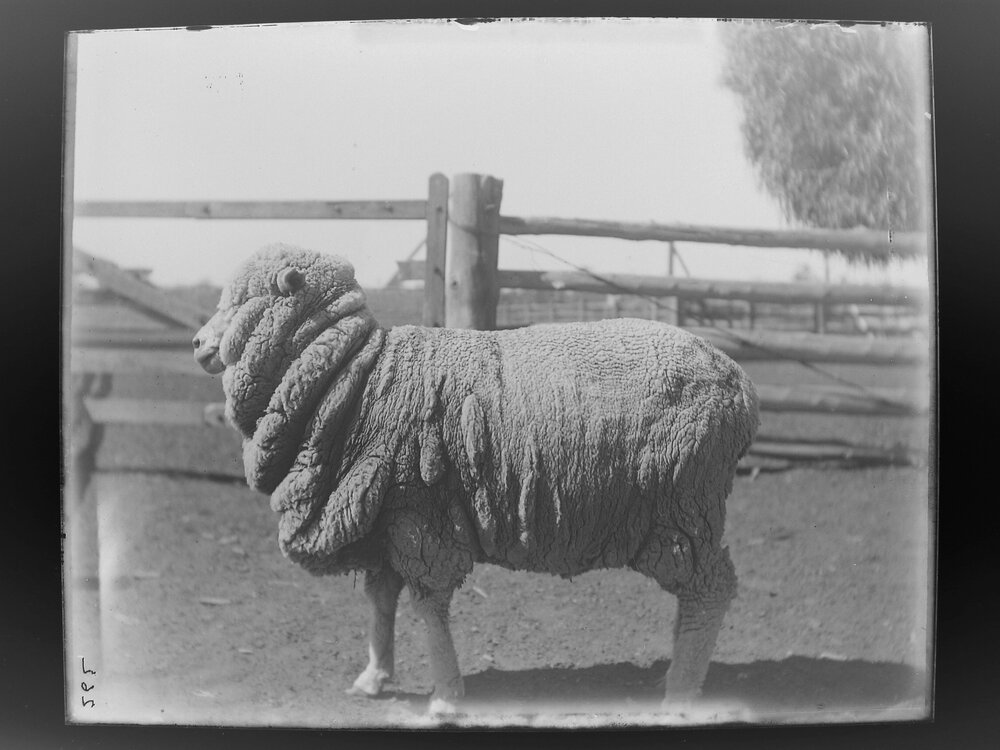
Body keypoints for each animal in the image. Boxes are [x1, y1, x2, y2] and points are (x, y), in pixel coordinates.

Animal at [193, 243, 760, 715]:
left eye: (244, 298)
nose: (197, 343)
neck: (360, 377)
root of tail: (740, 381)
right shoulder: (380, 518)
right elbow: (380, 602)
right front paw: (374, 677)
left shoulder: (420, 520)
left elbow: (427, 607)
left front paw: (446, 698)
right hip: (685, 511)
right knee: (696, 594)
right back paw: (676, 670)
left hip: (683, 504)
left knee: (710, 589)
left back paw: (680, 691)